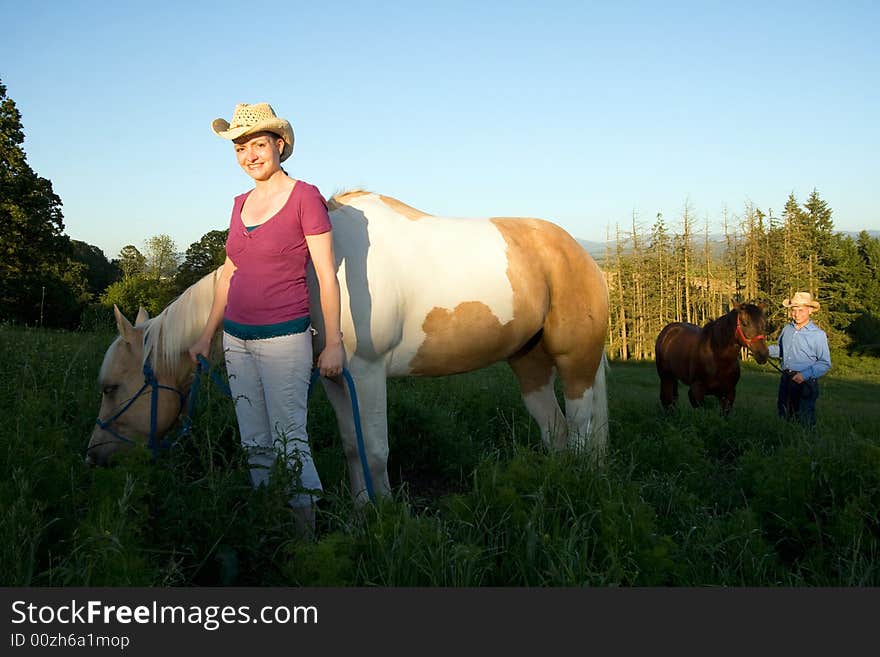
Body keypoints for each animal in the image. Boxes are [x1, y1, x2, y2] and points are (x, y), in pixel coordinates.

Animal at [89, 192, 612, 500]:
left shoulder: (366, 372)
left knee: (583, 430)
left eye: (112, 388)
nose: (93, 457)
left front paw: (385, 517)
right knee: (555, 430)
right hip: (529, 363)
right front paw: (363, 514)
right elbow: (352, 448)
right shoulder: (336, 379)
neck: (320, 272)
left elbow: (376, 450)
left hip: (576, 362)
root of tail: (585, 257)